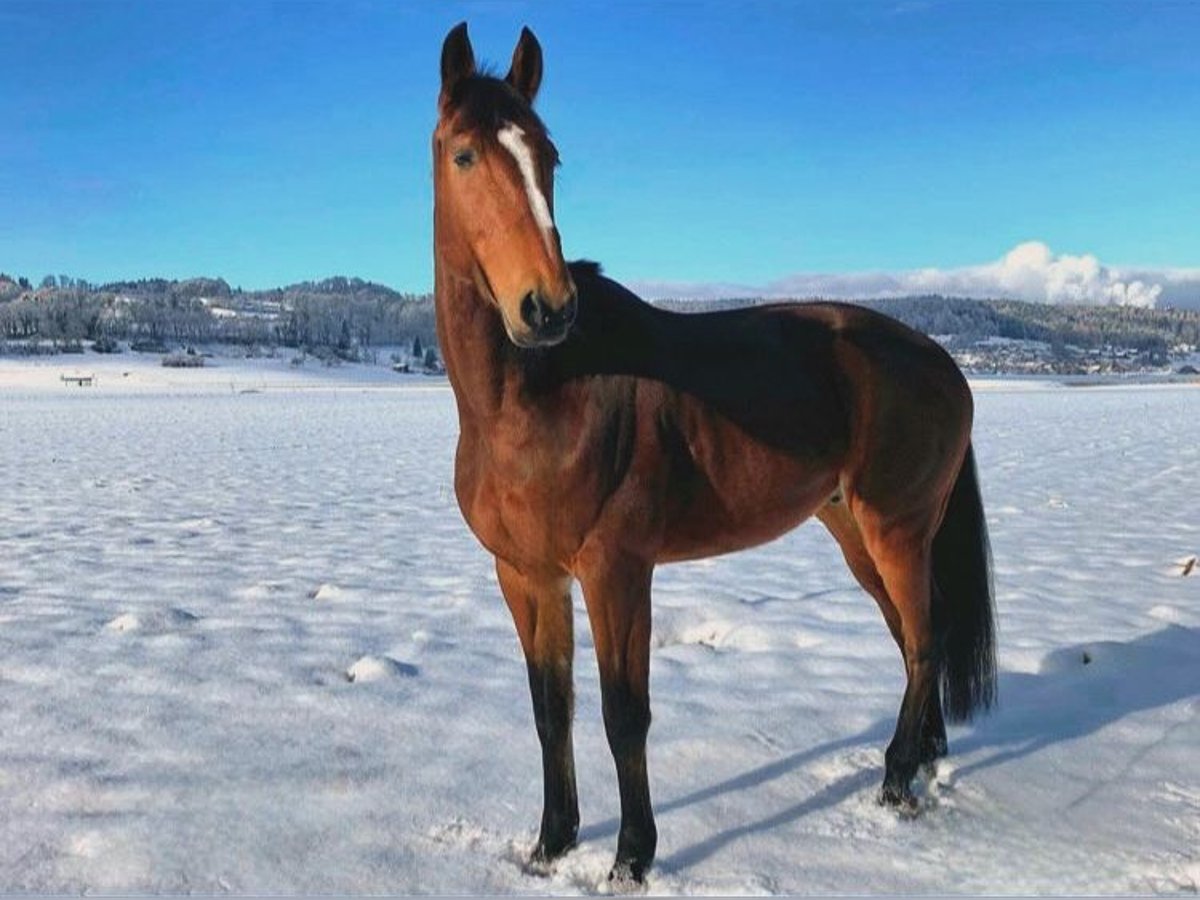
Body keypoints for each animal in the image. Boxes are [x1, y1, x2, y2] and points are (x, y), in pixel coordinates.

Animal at [432, 22, 993, 888]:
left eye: (549, 155)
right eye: (464, 155)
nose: (546, 307)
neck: (536, 399)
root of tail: (941, 362)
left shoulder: (617, 571)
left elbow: (623, 714)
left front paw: (632, 858)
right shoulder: (526, 575)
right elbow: (549, 709)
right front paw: (551, 845)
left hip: (895, 529)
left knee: (924, 640)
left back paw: (898, 779)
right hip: (858, 534)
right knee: (912, 641)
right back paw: (922, 760)